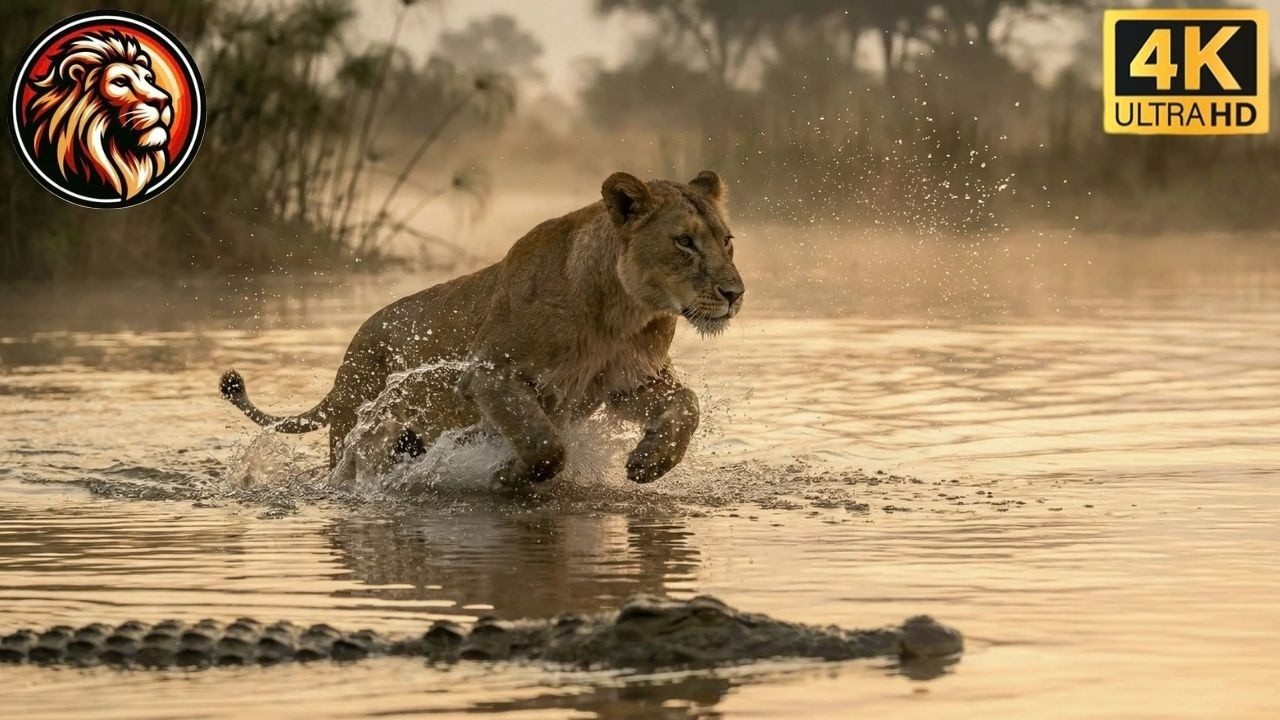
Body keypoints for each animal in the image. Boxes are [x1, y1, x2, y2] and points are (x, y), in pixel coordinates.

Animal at [220, 171, 745, 486]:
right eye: (684, 242)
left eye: (727, 241)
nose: (735, 293)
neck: (618, 313)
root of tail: (352, 351)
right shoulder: (491, 373)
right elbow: (544, 443)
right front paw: (508, 476)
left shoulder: (626, 381)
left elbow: (688, 405)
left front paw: (649, 461)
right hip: (360, 428)